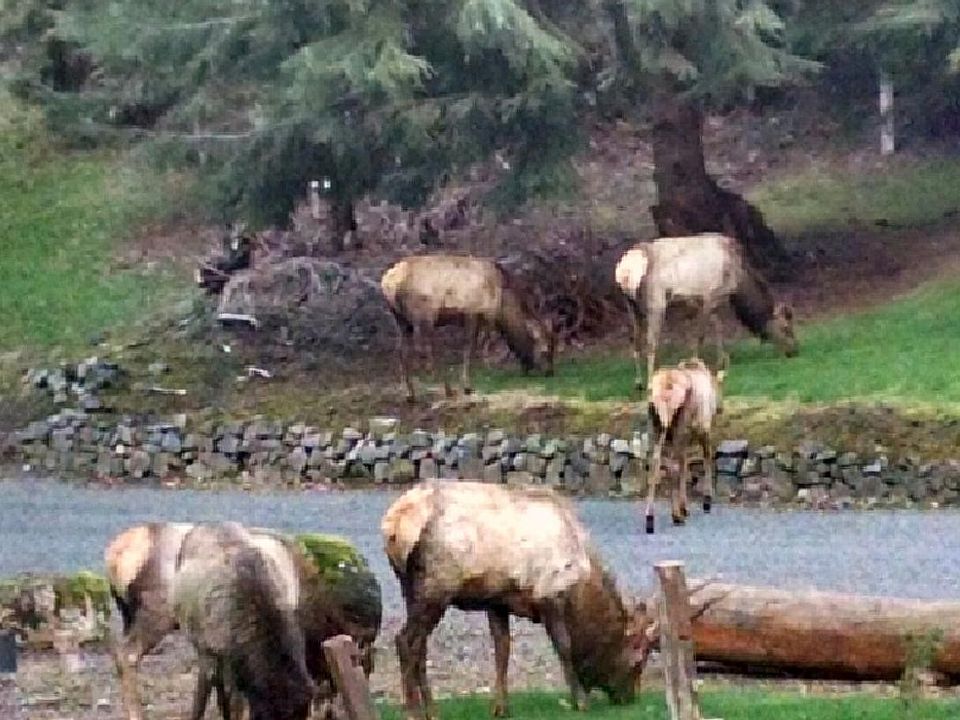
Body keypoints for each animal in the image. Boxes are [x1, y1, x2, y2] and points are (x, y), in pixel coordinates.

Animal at [380, 254, 556, 403]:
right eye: (545, 350)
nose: (550, 372)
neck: (501, 307)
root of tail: (388, 283)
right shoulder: (473, 313)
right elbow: (470, 348)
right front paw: (468, 385)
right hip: (424, 315)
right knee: (426, 351)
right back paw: (447, 389)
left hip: (400, 319)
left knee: (401, 350)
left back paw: (409, 394)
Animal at [615, 233, 797, 391]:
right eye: (785, 327)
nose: (793, 351)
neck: (738, 279)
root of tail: (625, 270)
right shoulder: (710, 296)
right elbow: (700, 335)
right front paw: (696, 364)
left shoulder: (706, 302)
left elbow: (718, 329)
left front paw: (721, 362)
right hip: (656, 301)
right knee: (651, 342)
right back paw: (651, 382)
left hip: (631, 305)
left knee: (635, 340)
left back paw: (638, 382)